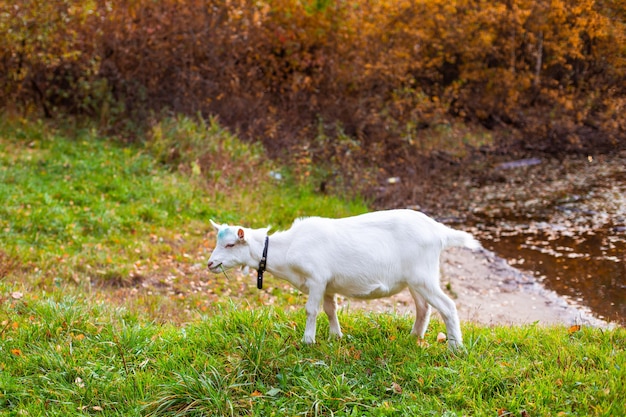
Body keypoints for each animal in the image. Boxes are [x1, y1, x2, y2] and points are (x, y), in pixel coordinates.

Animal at [207, 208, 480, 348]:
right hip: (416, 280)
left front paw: (308, 341)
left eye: (230, 244)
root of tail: (439, 232)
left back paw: (455, 347)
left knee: (448, 306)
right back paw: (414, 337)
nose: (210, 263)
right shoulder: (328, 285)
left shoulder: (317, 279)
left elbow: (311, 310)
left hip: (424, 276)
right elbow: (330, 309)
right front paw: (335, 336)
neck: (287, 248)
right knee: (424, 307)